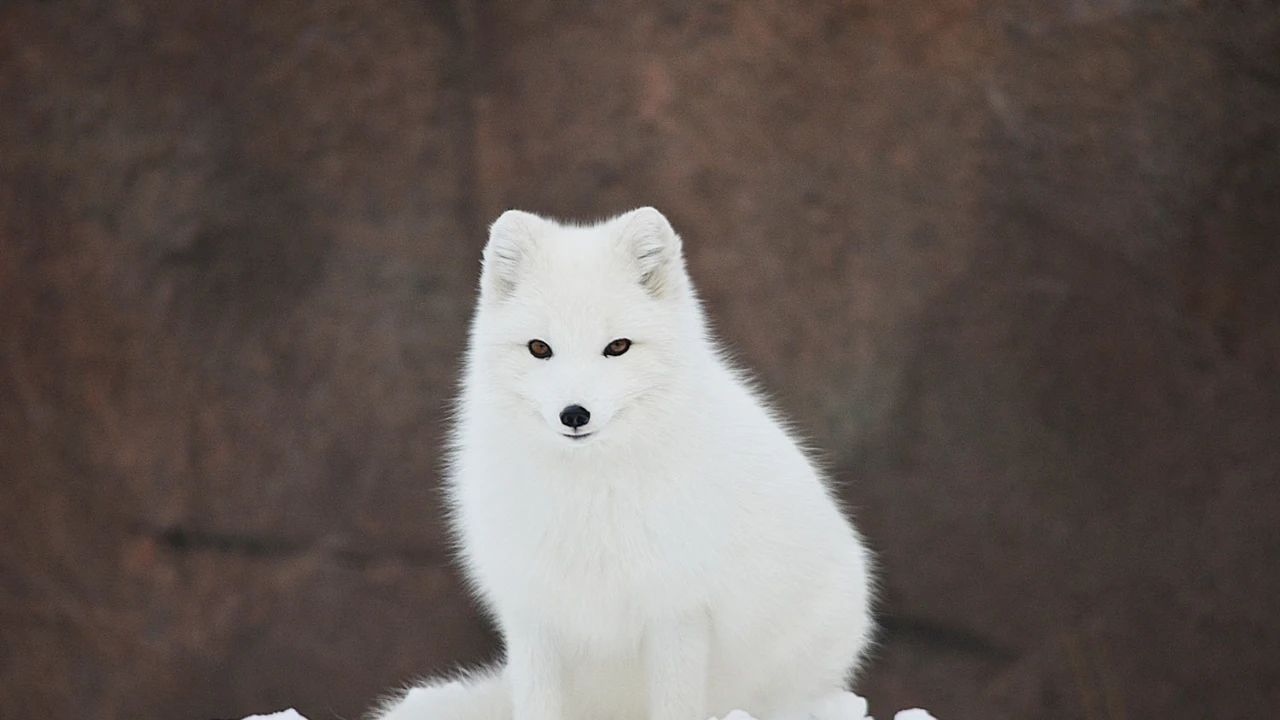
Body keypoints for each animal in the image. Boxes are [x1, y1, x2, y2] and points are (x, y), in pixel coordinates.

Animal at [373, 204, 875, 717]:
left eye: (617, 346)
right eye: (539, 348)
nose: (574, 414)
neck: (589, 494)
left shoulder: (678, 611)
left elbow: (675, 704)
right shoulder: (534, 614)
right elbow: (537, 704)